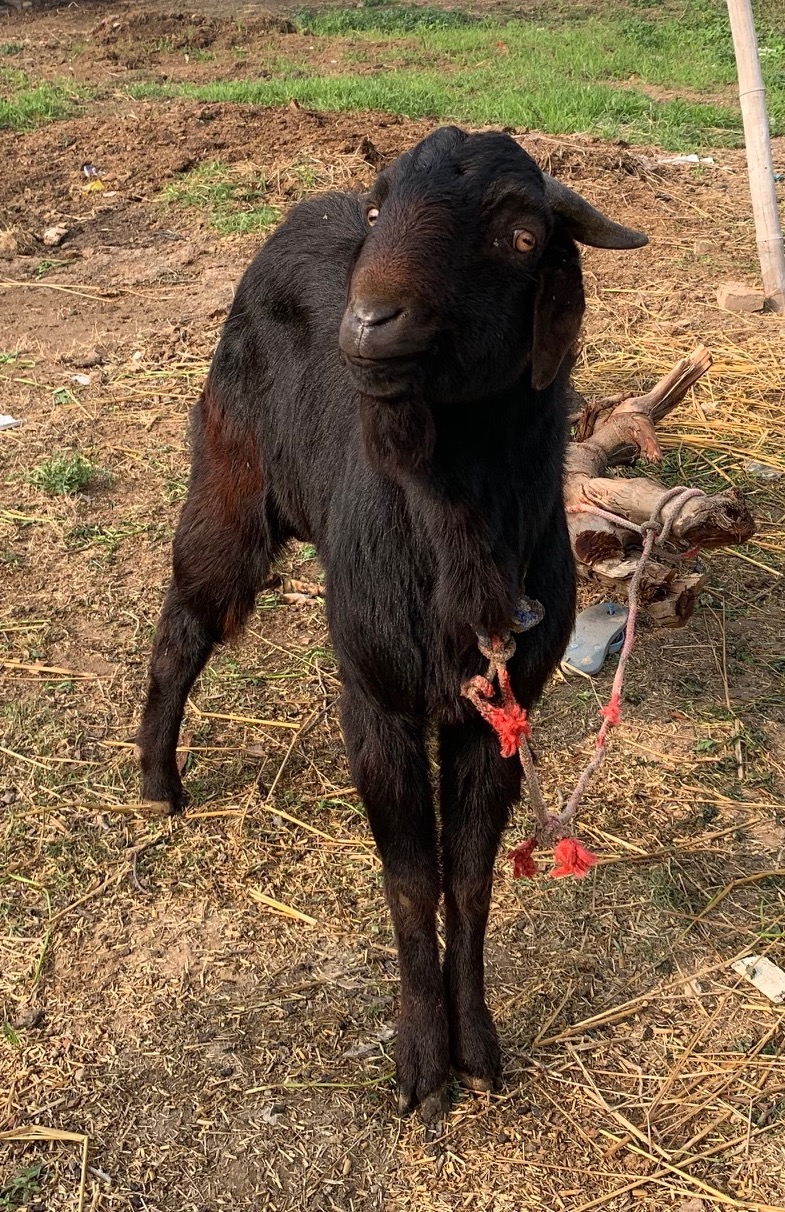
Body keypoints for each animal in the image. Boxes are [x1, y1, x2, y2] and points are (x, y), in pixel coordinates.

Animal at [137, 126, 647, 1122]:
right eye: (382, 211)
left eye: (521, 237)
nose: (369, 322)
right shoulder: (378, 703)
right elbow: (411, 882)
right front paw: (420, 1063)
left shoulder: (500, 713)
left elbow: (469, 879)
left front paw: (475, 1047)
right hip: (227, 477)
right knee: (184, 625)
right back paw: (157, 779)